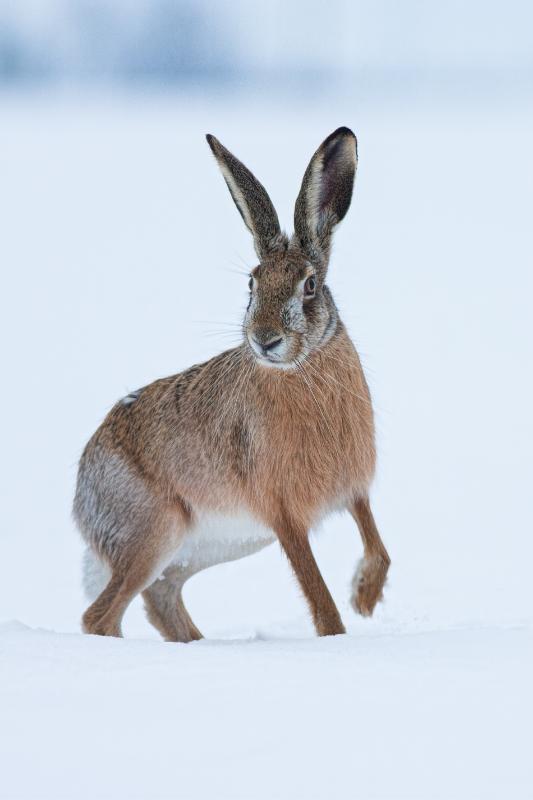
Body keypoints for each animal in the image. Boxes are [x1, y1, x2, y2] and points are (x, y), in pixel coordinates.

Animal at [73, 126, 390, 641]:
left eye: (310, 285)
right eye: (251, 284)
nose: (265, 339)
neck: (302, 369)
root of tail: (81, 494)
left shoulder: (353, 490)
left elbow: (378, 544)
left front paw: (365, 595)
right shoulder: (284, 515)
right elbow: (319, 598)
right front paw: (341, 632)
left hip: (207, 546)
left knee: (161, 598)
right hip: (154, 531)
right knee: (100, 615)